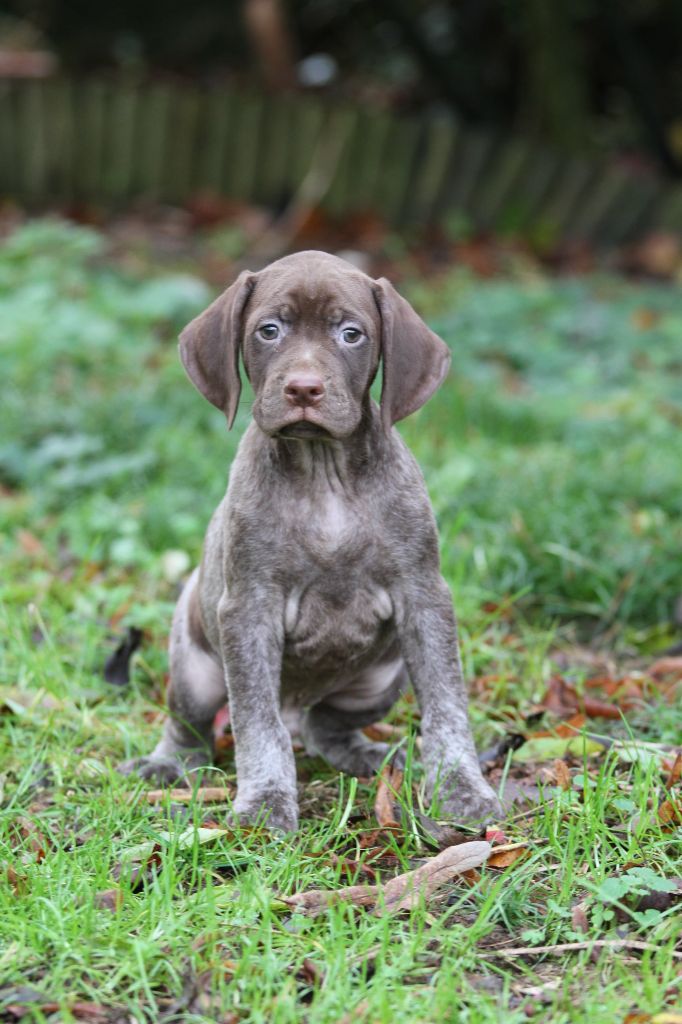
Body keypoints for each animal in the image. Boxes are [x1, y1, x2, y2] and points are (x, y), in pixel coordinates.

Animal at [119, 249, 497, 831]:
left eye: (351, 334)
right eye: (269, 330)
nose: (303, 389)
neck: (325, 475)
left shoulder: (425, 597)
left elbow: (447, 705)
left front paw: (461, 787)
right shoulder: (248, 610)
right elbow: (257, 723)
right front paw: (265, 802)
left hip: (381, 678)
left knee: (325, 726)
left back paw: (364, 754)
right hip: (194, 664)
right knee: (194, 726)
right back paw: (169, 764)